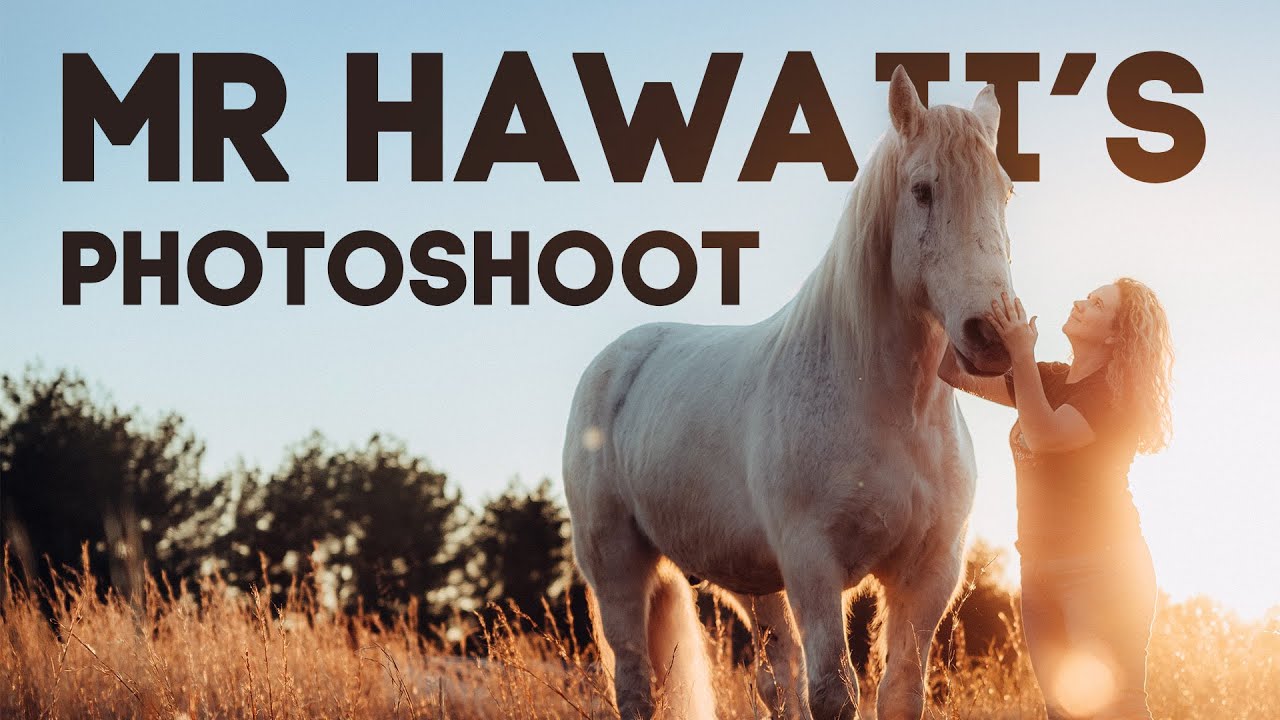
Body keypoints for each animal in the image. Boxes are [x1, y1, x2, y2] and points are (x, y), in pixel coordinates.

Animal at [562, 66, 1015, 720]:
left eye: (1005, 192)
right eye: (923, 190)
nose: (994, 334)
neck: (892, 409)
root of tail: (616, 360)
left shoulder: (928, 574)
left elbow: (899, 690)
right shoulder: (813, 566)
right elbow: (834, 691)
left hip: (757, 586)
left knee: (777, 681)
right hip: (617, 567)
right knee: (636, 682)